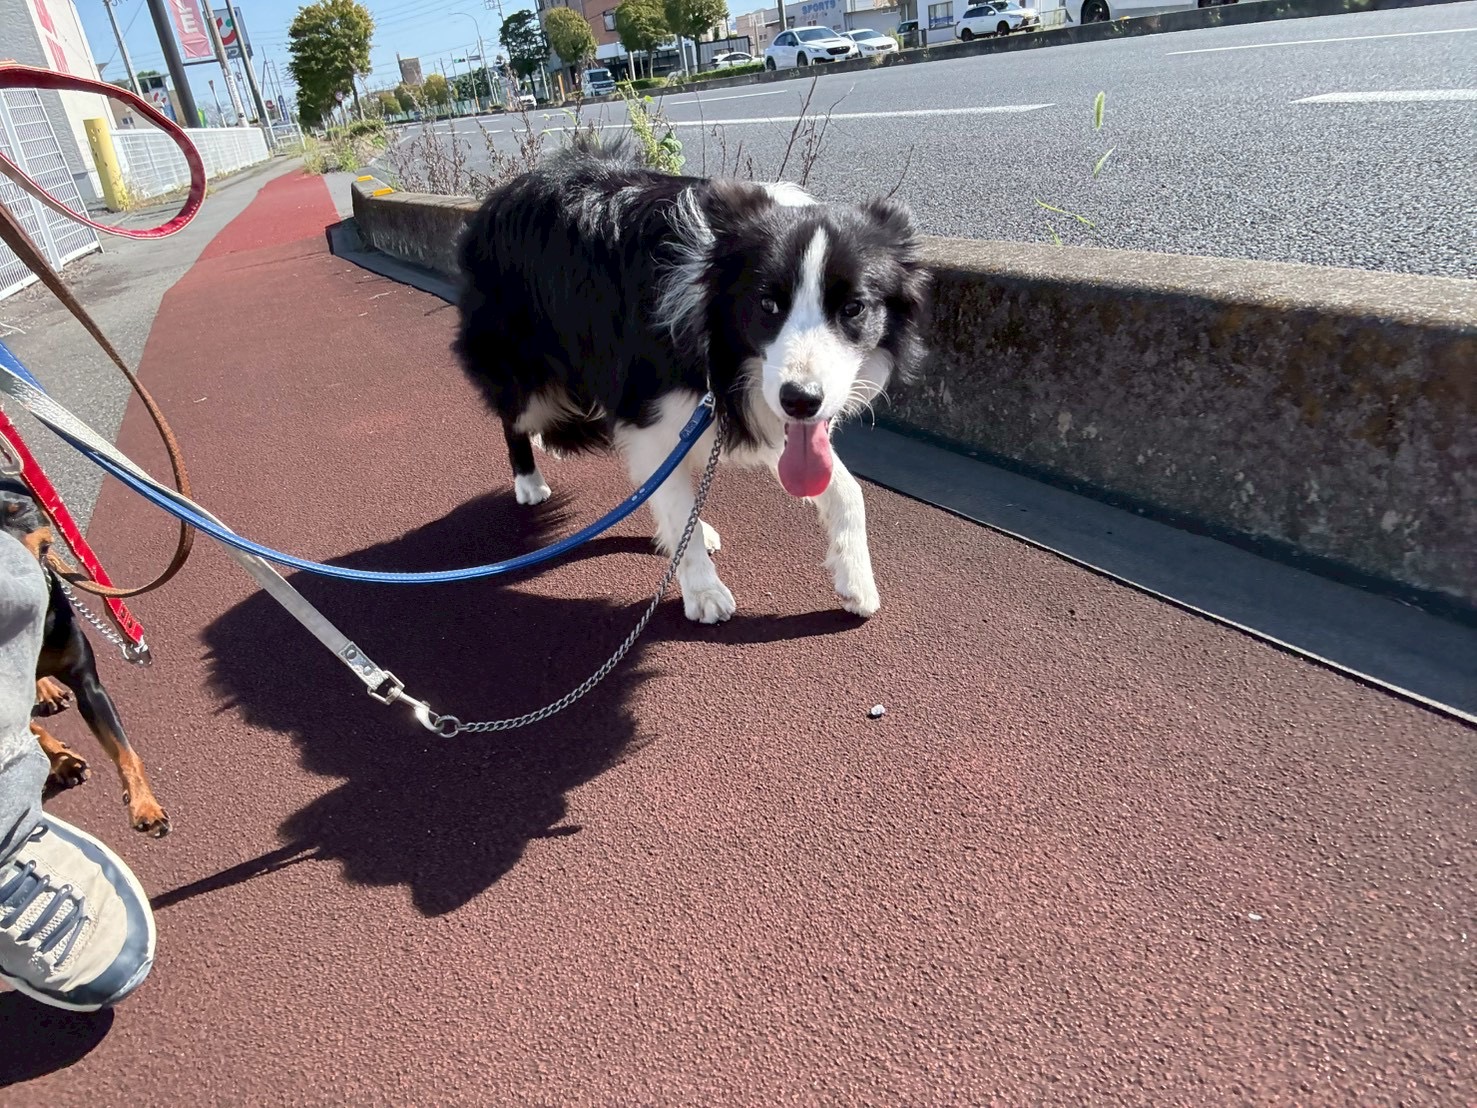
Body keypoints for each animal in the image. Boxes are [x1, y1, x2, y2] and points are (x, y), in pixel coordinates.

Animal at [1, 476, 169, 837]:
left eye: (18, 511)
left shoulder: (88, 684)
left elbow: (126, 753)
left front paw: (145, 806)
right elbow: (33, 732)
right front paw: (63, 761)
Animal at [453, 139, 930, 623]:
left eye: (854, 308)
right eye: (767, 304)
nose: (800, 400)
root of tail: (503, 193)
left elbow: (846, 489)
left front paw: (857, 581)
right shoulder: (648, 410)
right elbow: (676, 500)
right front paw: (702, 590)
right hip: (519, 363)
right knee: (514, 418)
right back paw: (529, 483)